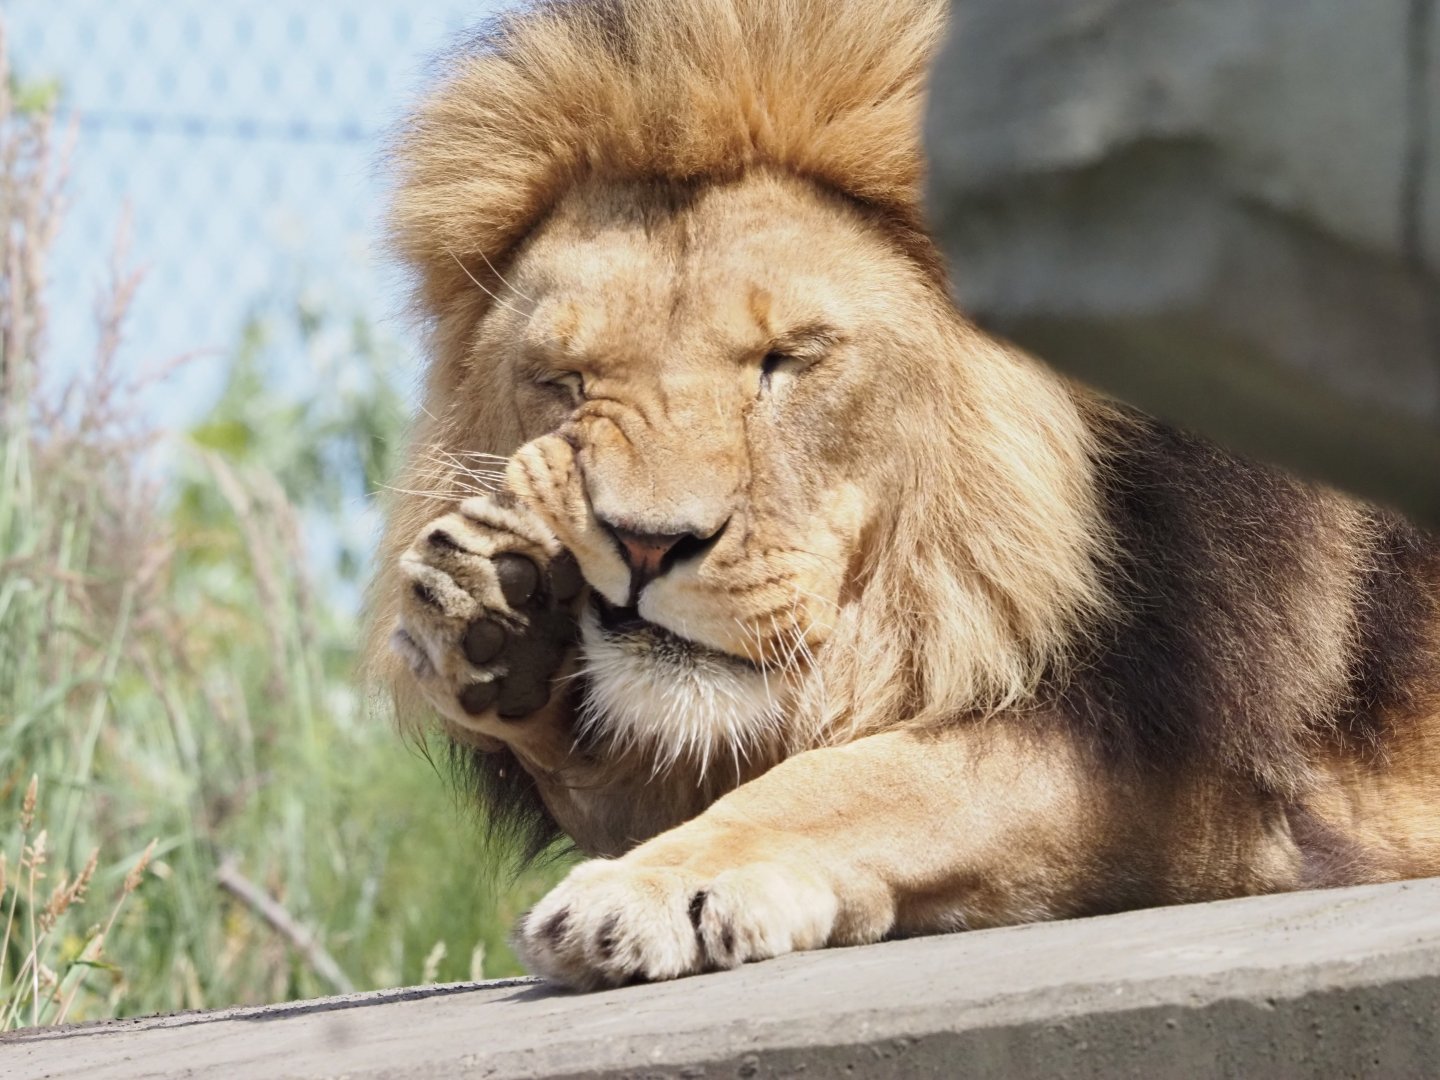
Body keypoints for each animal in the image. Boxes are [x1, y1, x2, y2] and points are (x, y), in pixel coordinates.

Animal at [368, 0, 1440, 990]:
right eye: (565, 380)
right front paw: (489, 613)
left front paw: (646, 887)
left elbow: (877, 779)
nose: (641, 546)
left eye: (787, 360)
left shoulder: (1245, 790)